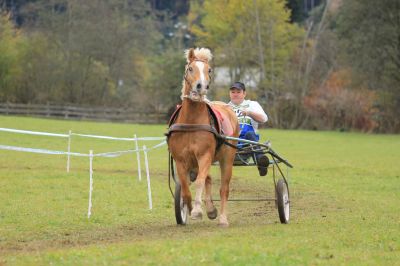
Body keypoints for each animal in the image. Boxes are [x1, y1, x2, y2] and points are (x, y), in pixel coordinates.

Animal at [166, 47, 239, 227]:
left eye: (209, 70)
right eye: (190, 68)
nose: (201, 86)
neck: (191, 123)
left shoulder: (205, 155)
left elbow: (199, 181)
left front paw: (198, 210)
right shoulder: (181, 160)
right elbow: (185, 188)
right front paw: (189, 208)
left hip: (227, 158)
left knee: (223, 188)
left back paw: (222, 218)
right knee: (208, 178)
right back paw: (211, 209)